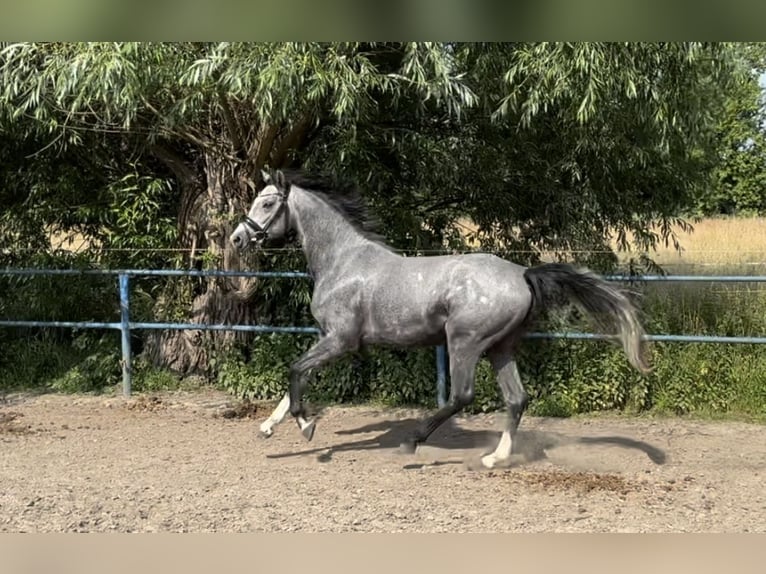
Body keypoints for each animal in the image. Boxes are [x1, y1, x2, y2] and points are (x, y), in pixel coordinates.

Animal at [231, 169, 652, 470]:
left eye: (267, 204)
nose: (237, 239)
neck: (343, 261)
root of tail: (522, 274)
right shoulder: (327, 337)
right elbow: (297, 377)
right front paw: (268, 427)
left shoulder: (341, 341)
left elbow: (294, 370)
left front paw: (307, 427)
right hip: (501, 347)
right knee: (516, 398)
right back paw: (494, 458)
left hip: (464, 342)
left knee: (462, 395)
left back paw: (413, 441)